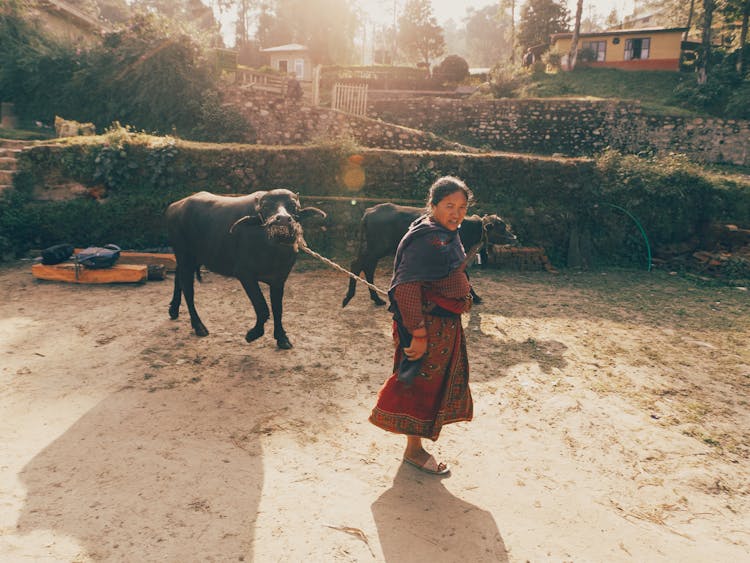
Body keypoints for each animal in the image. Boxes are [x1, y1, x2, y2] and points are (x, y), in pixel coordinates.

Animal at [167, 189, 326, 348]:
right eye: (266, 207)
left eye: (293, 206)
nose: (282, 219)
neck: (272, 251)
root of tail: (174, 207)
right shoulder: (245, 275)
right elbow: (262, 308)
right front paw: (253, 334)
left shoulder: (279, 279)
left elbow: (277, 309)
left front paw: (282, 338)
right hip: (184, 256)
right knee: (188, 290)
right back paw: (199, 326)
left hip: (187, 259)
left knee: (178, 277)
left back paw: (174, 310)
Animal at [344, 203, 520, 308]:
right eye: (501, 227)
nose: (514, 237)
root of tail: (369, 212)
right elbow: (465, 277)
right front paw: (475, 297)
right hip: (377, 248)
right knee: (358, 264)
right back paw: (349, 297)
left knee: (367, 267)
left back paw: (376, 298)